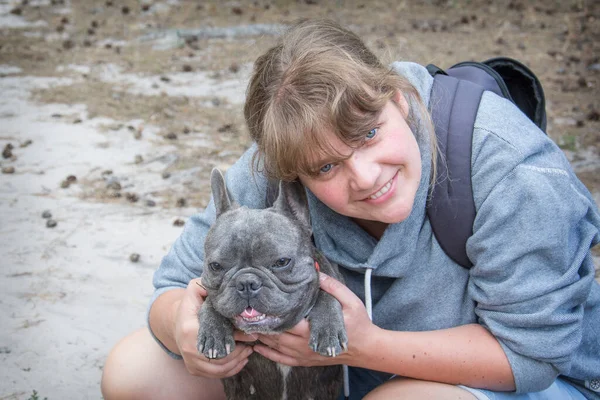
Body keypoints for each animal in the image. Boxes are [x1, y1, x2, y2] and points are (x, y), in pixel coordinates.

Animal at [197, 169, 346, 400]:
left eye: (282, 262)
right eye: (215, 266)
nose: (246, 282)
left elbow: (327, 293)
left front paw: (327, 329)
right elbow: (211, 303)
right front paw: (214, 333)